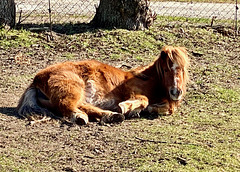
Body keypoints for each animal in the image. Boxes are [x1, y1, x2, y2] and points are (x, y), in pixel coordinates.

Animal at [16, 45, 189, 125]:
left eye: (182, 69)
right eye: (166, 69)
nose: (176, 92)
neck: (148, 79)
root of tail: (36, 80)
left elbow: (166, 108)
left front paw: (141, 110)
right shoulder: (130, 91)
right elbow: (144, 100)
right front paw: (127, 107)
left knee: (83, 106)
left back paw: (111, 116)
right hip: (73, 87)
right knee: (67, 105)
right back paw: (81, 117)